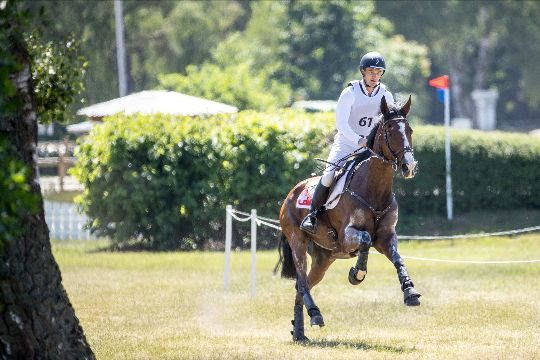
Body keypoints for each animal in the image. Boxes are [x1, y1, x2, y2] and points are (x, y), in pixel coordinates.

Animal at [278, 95, 422, 340]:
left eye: (409, 129)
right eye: (390, 129)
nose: (409, 166)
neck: (374, 189)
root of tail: (291, 194)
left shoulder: (385, 237)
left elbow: (397, 257)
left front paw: (410, 291)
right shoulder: (347, 236)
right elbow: (364, 239)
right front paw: (357, 273)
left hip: (324, 258)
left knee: (302, 284)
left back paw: (299, 331)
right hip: (298, 241)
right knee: (302, 280)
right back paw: (315, 314)